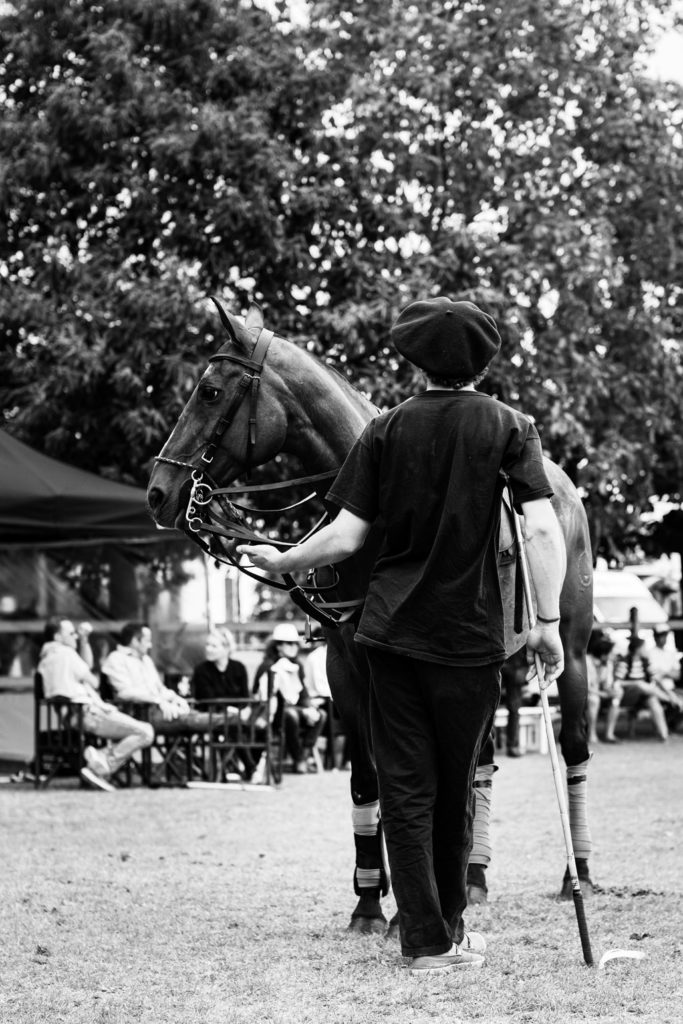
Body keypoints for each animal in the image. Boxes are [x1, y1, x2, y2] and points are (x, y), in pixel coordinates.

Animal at [148, 296, 593, 929]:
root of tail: (562, 485)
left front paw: (405, 901)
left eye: (210, 392)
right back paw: (474, 876)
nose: (158, 493)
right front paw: (369, 901)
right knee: (480, 764)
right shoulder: (346, 670)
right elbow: (368, 779)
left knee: (573, 749)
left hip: (570, 654)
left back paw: (577, 874)